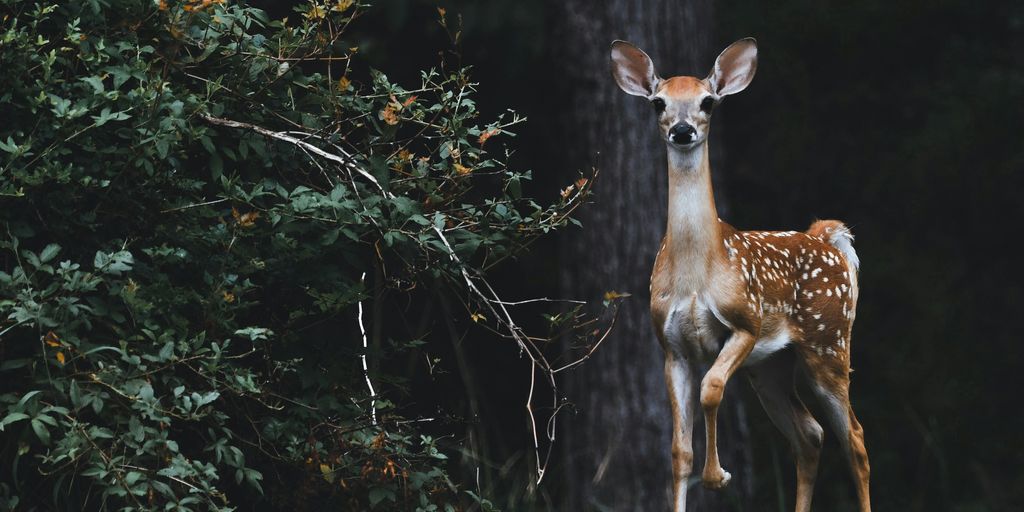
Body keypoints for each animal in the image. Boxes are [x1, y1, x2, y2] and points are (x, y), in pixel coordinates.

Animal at [606, 37, 872, 509]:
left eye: (708, 102)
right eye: (658, 103)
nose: (682, 130)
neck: (696, 274)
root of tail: (827, 238)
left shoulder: (745, 322)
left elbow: (712, 388)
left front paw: (719, 476)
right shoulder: (671, 346)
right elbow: (679, 451)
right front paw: (706, 473)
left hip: (829, 343)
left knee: (854, 439)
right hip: (771, 366)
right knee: (809, 434)